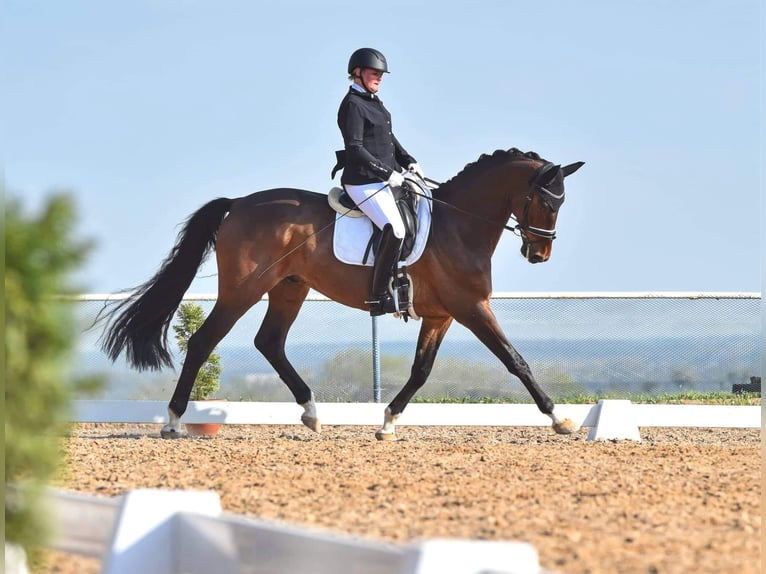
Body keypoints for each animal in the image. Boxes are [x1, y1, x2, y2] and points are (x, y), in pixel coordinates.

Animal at [99, 148, 584, 440]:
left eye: (561, 204)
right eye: (547, 202)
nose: (539, 253)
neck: (459, 225)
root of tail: (237, 204)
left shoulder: (441, 314)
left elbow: (421, 370)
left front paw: (387, 422)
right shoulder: (471, 308)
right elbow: (515, 360)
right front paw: (559, 418)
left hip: (289, 289)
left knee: (269, 342)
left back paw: (313, 413)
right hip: (243, 289)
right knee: (204, 341)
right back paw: (173, 422)